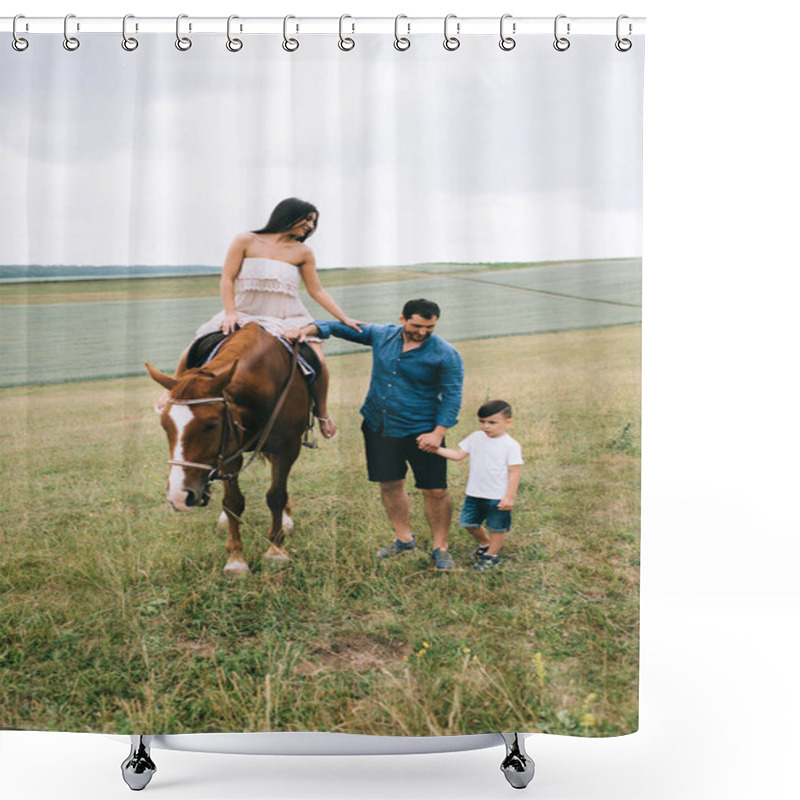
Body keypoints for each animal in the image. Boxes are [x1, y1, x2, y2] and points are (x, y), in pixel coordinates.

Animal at [145, 324, 308, 576]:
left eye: (211, 424)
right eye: (165, 425)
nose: (179, 496)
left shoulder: (288, 447)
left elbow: (276, 495)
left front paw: (276, 550)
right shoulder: (230, 451)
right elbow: (232, 502)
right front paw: (236, 560)